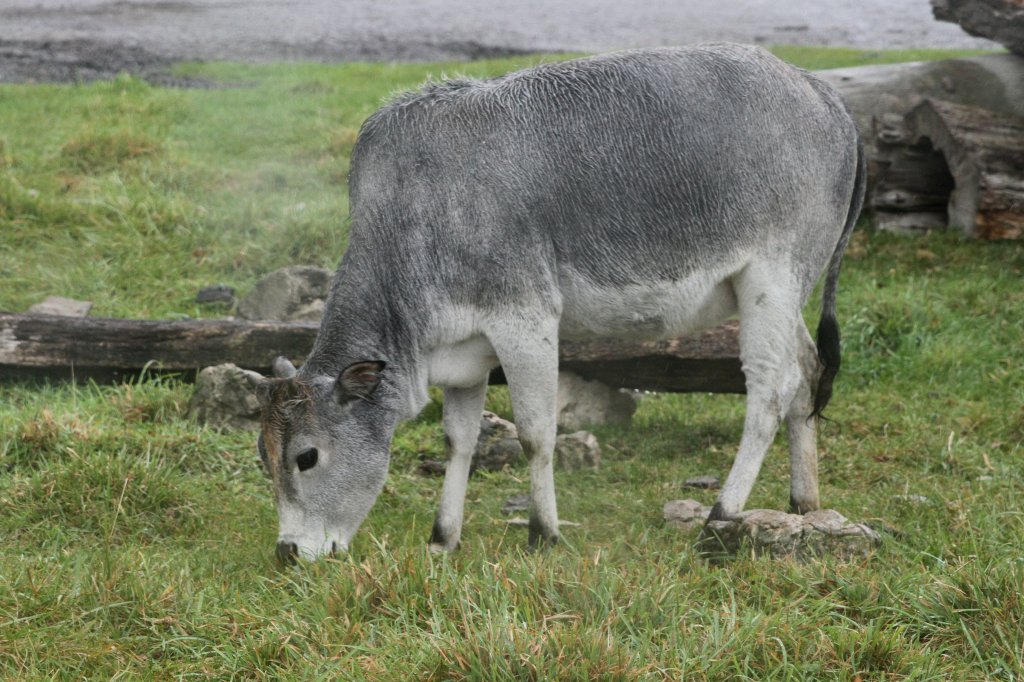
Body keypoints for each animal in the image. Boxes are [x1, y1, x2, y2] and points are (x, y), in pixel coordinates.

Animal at [253, 45, 864, 561]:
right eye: (262, 455)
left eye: (307, 456)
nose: (288, 552)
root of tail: (818, 89)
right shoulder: (464, 349)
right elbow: (458, 440)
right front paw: (443, 538)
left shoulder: (526, 318)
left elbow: (536, 432)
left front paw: (542, 532)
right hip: (780, 294)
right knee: (808, 371)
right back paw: (804, 501)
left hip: (773, 277)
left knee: (771, 389)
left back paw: (724, 509)